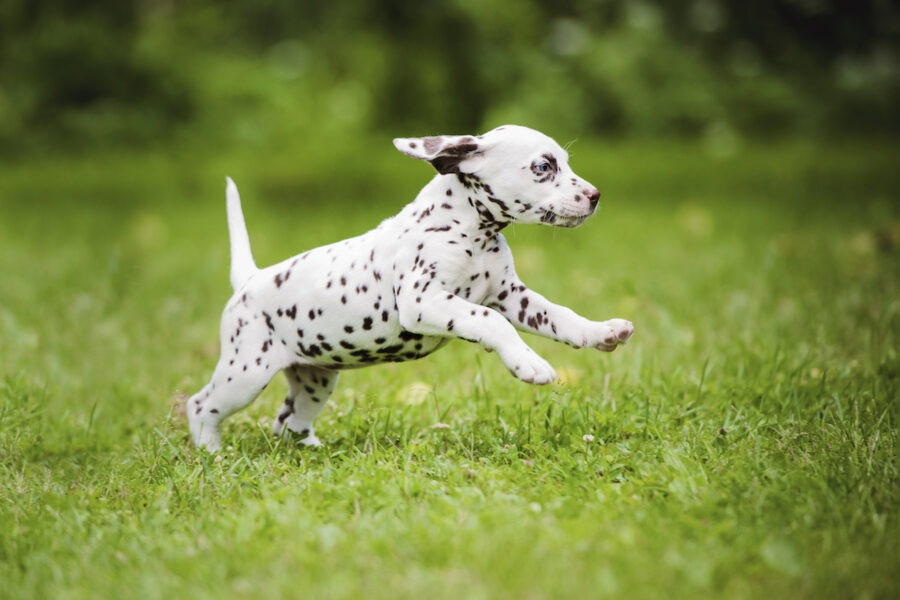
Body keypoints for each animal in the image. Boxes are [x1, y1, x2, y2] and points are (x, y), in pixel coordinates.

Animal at [185, 124, 632, 450]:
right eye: (543, 167)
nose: (595, 196)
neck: (470, 228)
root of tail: (250, 279)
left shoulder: (511, 297)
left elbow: (559, 315)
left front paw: (601, 331)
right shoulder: (424, 302)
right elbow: (489, 321)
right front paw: (530, 364)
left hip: (315, 380)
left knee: (289, 420)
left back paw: (308, 450)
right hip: (245, 373)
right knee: (200, 404)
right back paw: (211, 453)